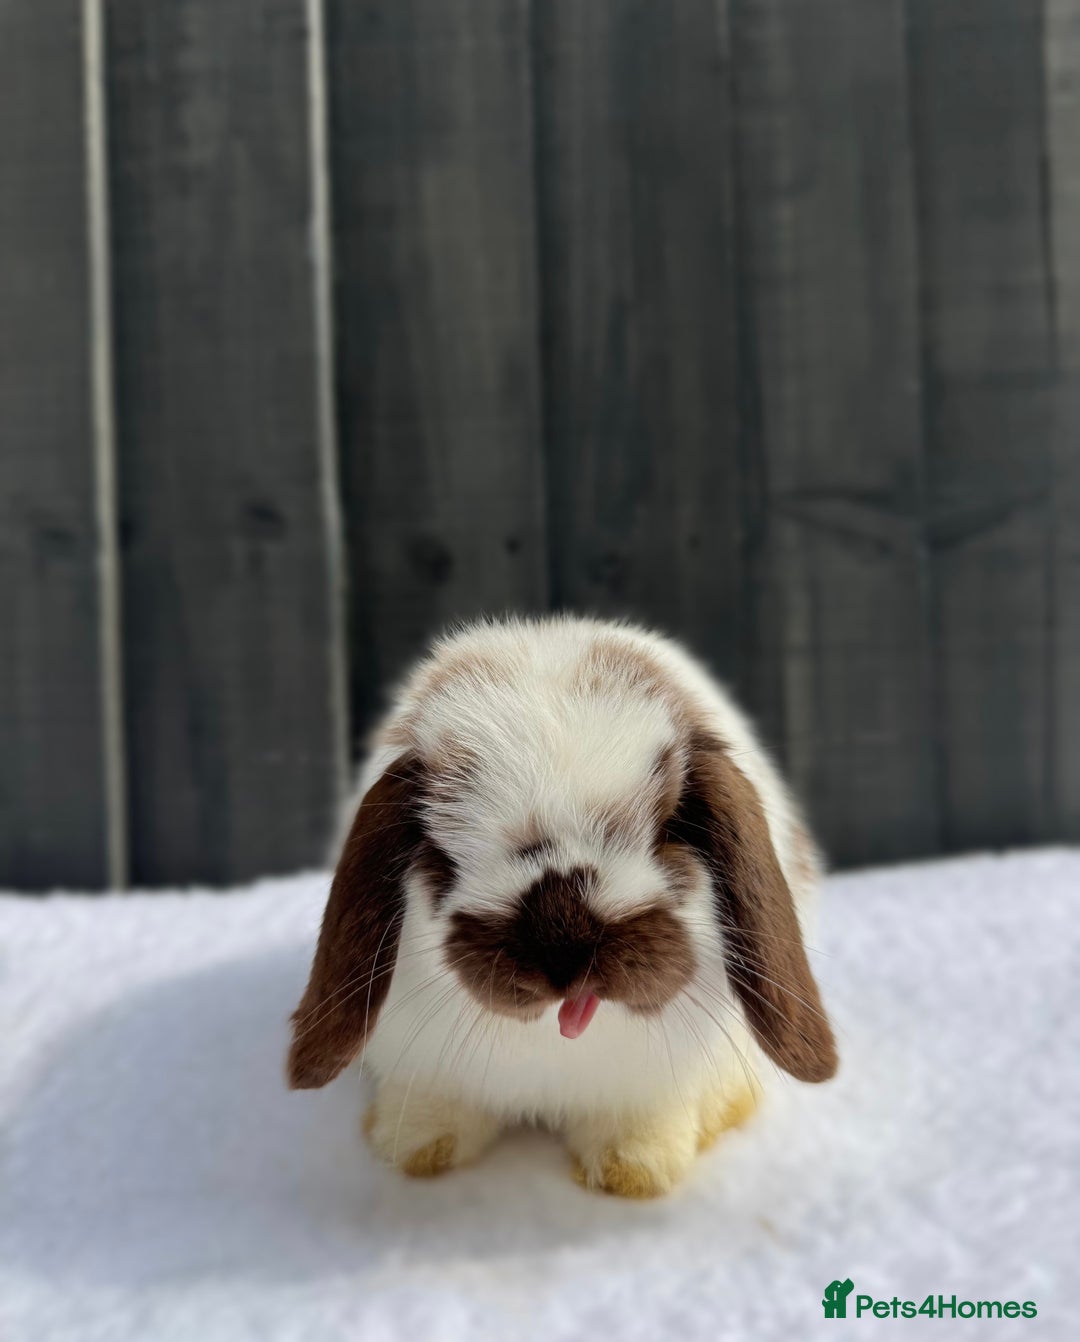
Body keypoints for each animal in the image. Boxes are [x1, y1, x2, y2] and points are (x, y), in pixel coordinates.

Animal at [286, 614, 837, 1198]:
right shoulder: (427, 1069)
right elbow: (440, 1108)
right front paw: (419, 1148)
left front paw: (630, 1172)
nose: (565, 949)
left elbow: (640, 1125)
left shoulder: (648, 1092)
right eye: (443, 850)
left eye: (670, 827)